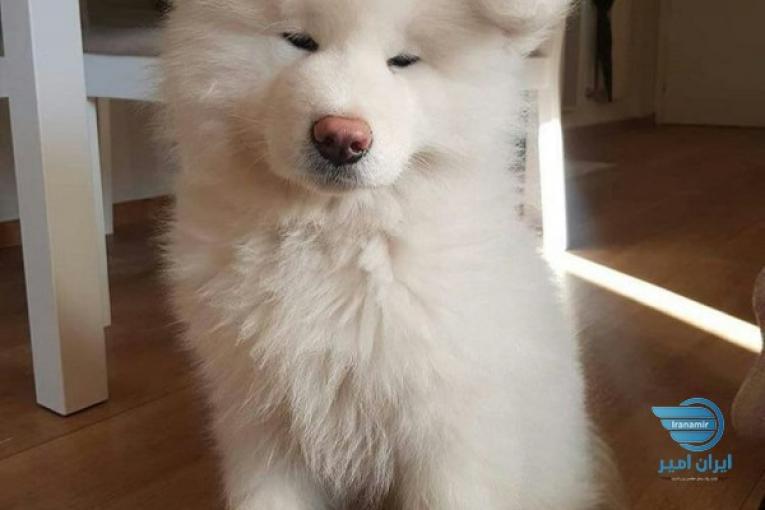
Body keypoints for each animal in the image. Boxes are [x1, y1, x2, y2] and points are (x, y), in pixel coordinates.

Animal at [160, 0, 602, 508]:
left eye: (404, 61)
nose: (340, 137)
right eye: (299, 40)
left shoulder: (449, 434)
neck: (337, 234)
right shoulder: (262, 424)